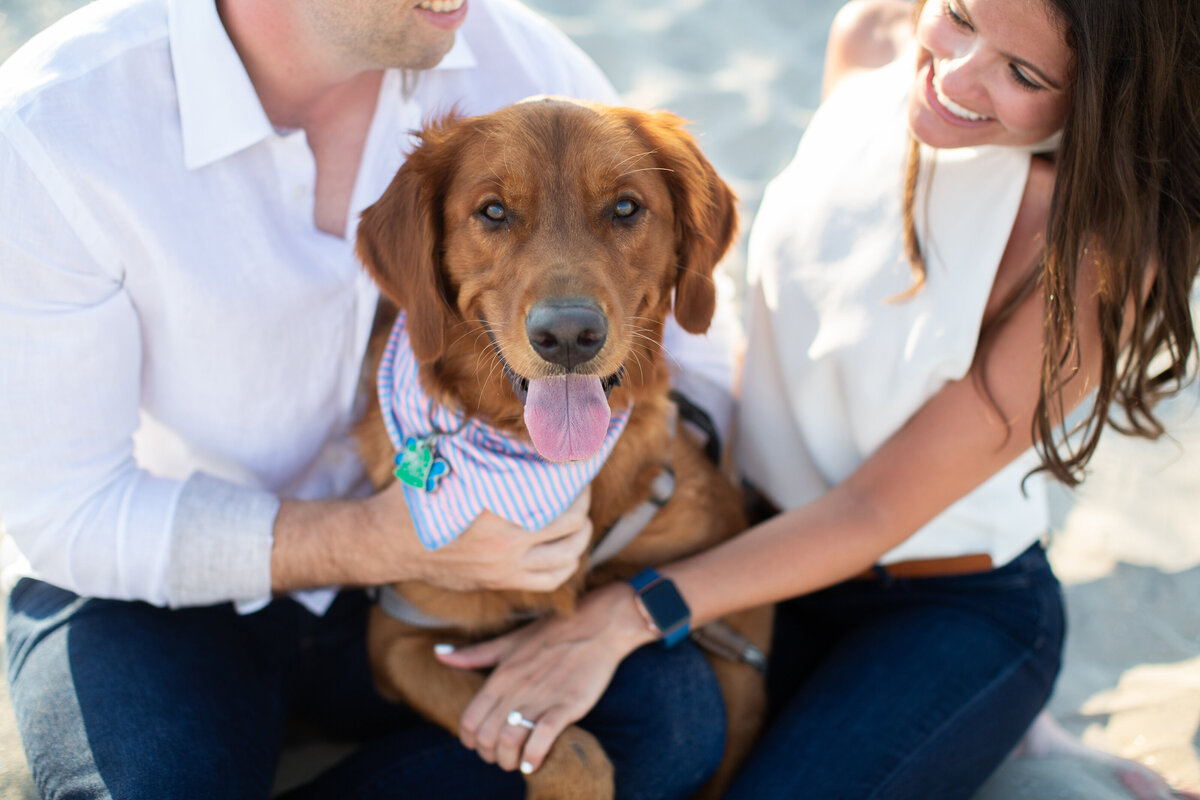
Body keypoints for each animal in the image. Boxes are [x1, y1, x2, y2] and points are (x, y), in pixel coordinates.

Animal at [355, 98, 768, 800]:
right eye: (493, 211)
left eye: (626, 207)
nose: (569, 334)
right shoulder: (400, 635)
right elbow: (570, 750)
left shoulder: (742, 626)